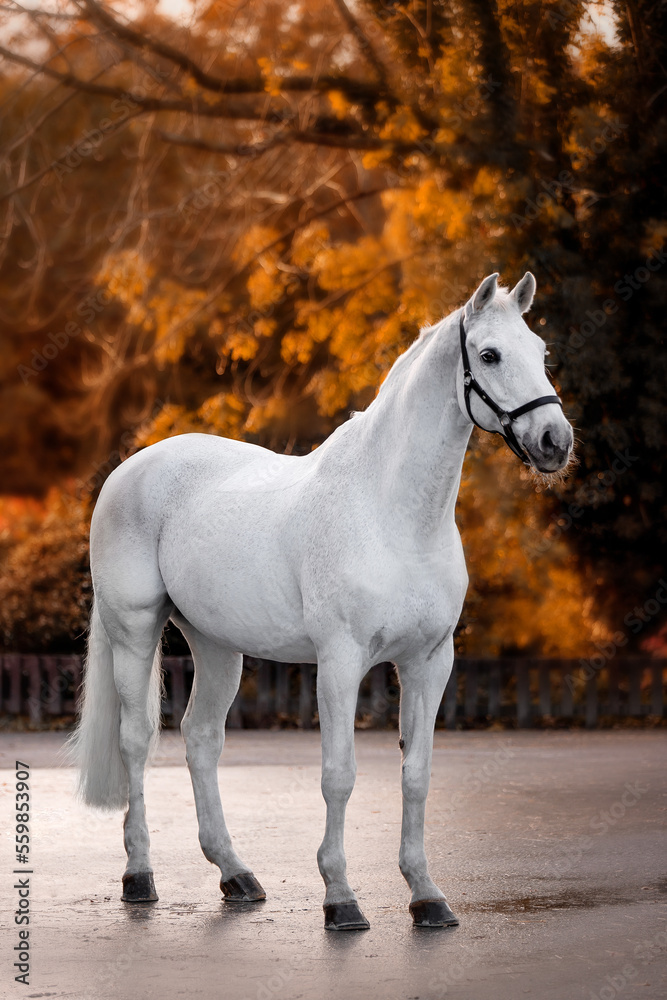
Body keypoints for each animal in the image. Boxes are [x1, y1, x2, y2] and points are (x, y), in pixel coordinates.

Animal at [69, 271, 573, 931]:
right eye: (488, 355)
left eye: (540, 352)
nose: (555, 442)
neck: (392, 514)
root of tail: (127, 471)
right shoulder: (339, 662)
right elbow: (339, 776)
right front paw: (340, 899)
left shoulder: (429, 662)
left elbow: (417, 776)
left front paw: (427, 896)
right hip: (135, 630)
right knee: (137, 741)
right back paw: (139, 877)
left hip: (218, 646)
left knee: (201, 738)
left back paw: (236, 875)